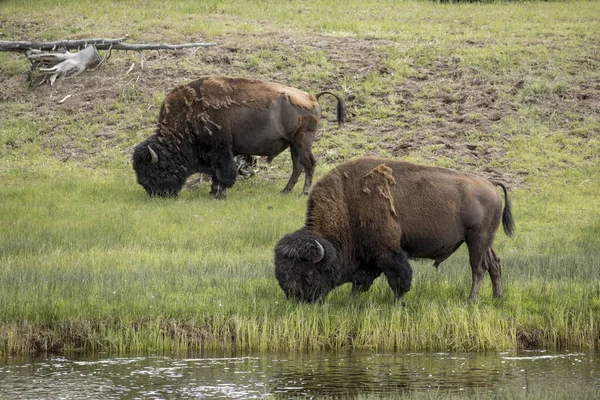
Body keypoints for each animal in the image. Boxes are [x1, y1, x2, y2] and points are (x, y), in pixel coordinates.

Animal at [133, 75, 344, 198]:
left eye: (155, 169)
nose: (153, 193)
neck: (188, 116)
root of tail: (312, 96)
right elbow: (215, 174)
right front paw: (212, 192)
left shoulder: (221, 150)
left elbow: (223, 172)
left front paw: (219, 194)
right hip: (293, 143)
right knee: (297, 166)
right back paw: (285, 191)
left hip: (302, 141)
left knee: (309, 164)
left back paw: (304, 192)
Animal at [274, 156, 512, 304]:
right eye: (282, 272)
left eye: (308, 273)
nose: (296, 297)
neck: (346, 205)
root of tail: (490, 183)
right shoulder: (368, 257)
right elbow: (361, 281)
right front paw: (352, 300)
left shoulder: (388, 252)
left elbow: (398, 278)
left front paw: (399, 303)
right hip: (484, 241)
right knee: (494, 264)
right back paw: (498, 297)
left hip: (477, 239)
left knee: (478, 268)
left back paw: (471, 300)